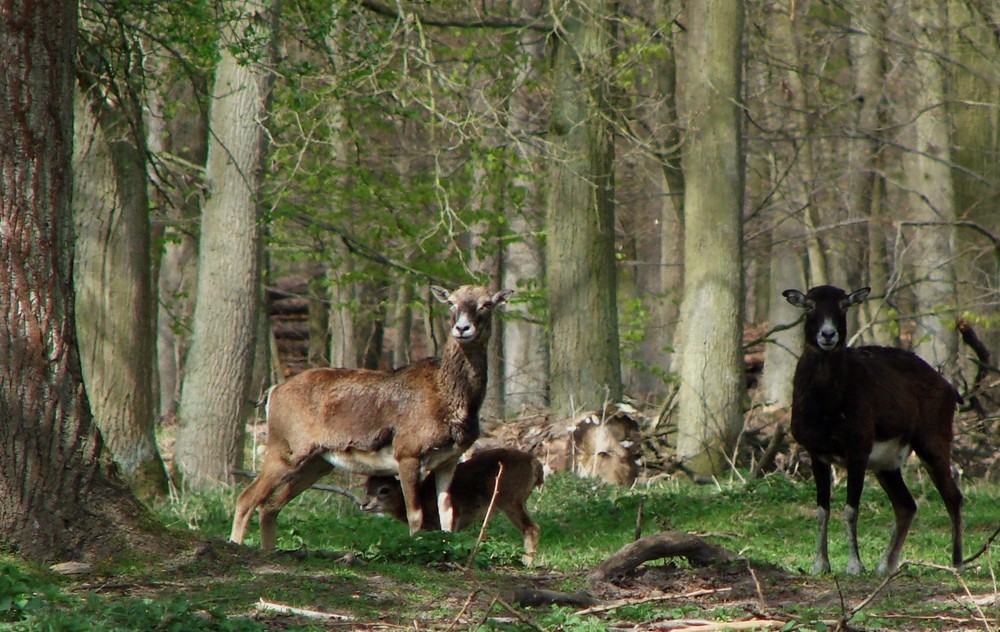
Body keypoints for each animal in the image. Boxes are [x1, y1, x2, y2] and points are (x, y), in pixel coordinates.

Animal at [229, 284, 512, 552]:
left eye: (487, 304)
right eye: (451, 302)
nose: (462, 328)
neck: (449, 403)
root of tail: (272, 393)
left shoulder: (448, 460)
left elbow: (447, 514)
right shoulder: (407, 452)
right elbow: (415, 515)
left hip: (317, 462)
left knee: (270, 505)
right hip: (285, 448)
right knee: (246, 497)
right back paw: (237, 544)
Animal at [364, 446, 544, 564]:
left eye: (385, 489)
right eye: (366, 487)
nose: (364, 504)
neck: (422, 499)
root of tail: (536, 464)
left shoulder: (455, 511)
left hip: (509, 499)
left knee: (532, 527)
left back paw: (527, 561)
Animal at [784, 286, 964, 576]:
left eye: (844, 305)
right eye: (809, 306)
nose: (828, 334)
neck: (827, 411)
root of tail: (951, 390)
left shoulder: (858, 448)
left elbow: (850, 509)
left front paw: (855, 566)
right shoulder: (816, 453)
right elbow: (822, 509)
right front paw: (820, 565)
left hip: (932, 442)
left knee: (953, 497)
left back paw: (957, 563)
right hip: (886, 465)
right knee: (906, 505)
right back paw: (885, 566)